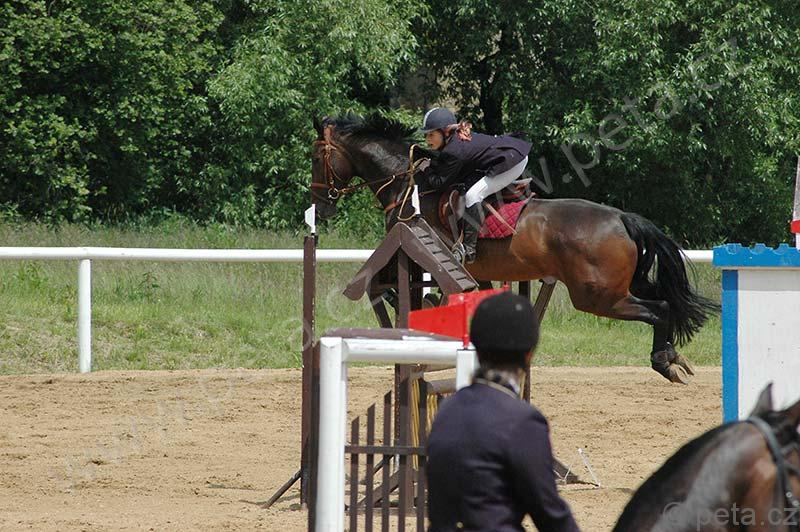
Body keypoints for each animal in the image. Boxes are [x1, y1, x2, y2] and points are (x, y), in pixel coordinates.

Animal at [310, 114, 719, 384]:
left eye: (318, 159)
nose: (321, 205)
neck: (407, 185)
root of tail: (621, 217)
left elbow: (401, 294)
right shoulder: (473, 275)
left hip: (598, 296)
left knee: (658, 308)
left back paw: (664, 362)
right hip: (620, 285)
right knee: (663, 301)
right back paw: (675, 357)